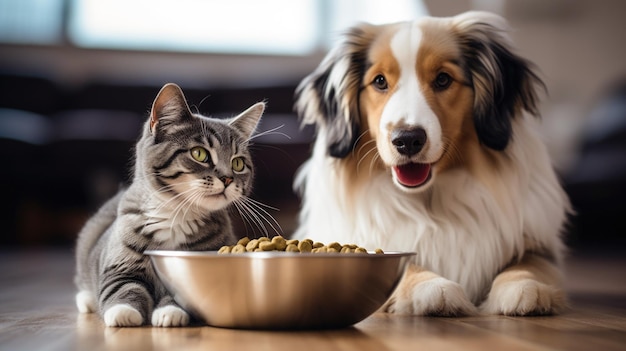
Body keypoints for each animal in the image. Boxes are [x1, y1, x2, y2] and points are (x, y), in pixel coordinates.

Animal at [74, 82, 264, 328]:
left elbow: (181, 293)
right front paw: (123, 312)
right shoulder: (120, 264)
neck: (177, 215)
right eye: (199, 153)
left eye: (238, 163)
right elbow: (121, 287)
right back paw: (86, 299)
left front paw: (170, 313)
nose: (228, 179)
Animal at [292, 12, 572, 318]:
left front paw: (523, 287)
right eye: (379, 81)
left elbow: (529, 263)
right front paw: (433, 287)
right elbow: (406, 266)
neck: (430, 200)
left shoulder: (540, 245)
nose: (407, 139)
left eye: (443, 79)